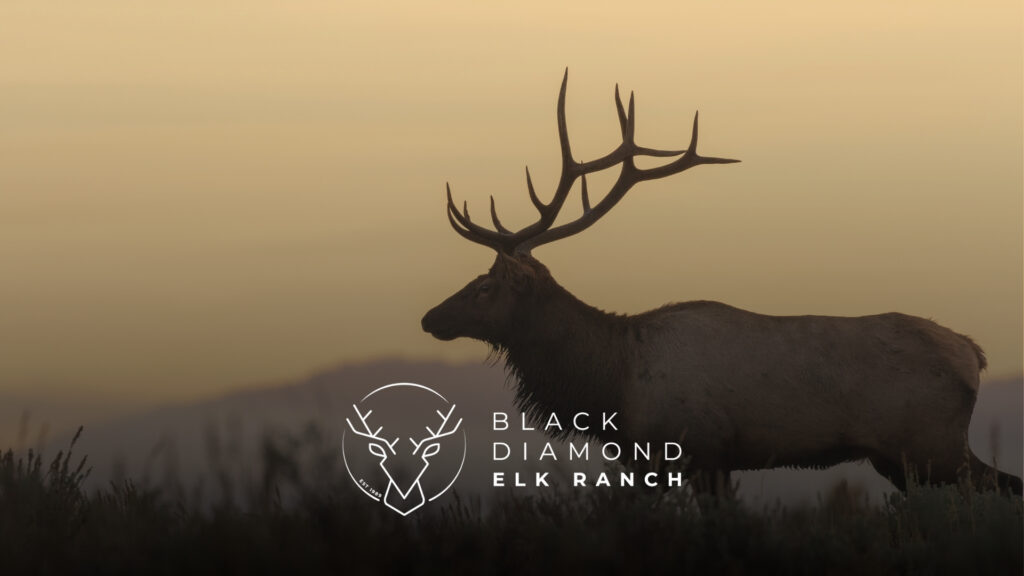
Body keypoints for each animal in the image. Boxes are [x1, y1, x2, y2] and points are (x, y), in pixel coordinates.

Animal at [420, 70, 1023, 497]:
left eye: (485, 286)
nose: (429, 318)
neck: (611, 384)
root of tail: (974, 353)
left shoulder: (697, 449)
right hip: (901, 457)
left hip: (930, 444)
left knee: (1001, 486)